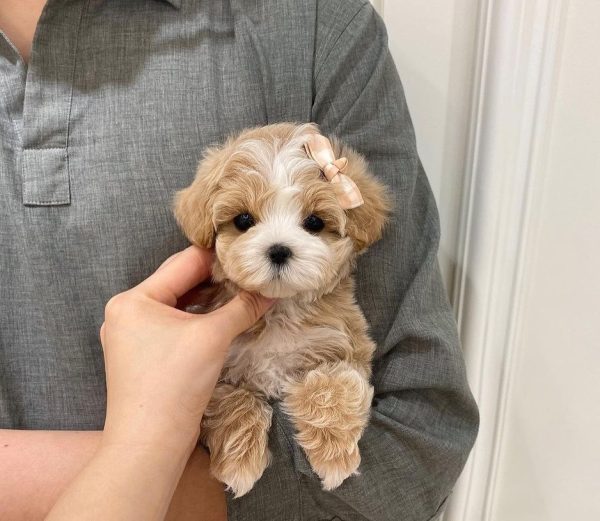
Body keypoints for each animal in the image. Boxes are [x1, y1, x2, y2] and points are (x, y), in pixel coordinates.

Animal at [171, 122, 392, 496]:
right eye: (243, 220)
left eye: (314, 222)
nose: (278, 250)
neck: (281, 311)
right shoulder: (217, 368)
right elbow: (231, 399)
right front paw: (238, 464)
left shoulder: (347, 346)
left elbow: (333, 384)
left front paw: (334, 457)